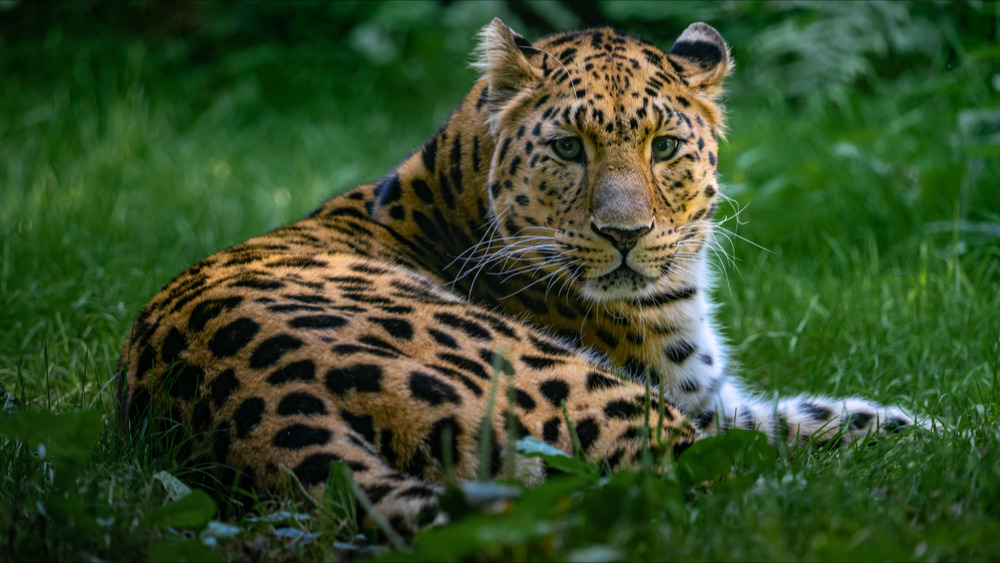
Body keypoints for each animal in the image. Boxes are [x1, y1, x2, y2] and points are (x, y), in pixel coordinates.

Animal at [115, 19, 928, 536]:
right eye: (568, 148)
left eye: (664, 146)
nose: (625, 236)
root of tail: (276, 420)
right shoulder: (695, 407)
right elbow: (808, 434)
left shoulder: (720, 402)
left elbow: (835, 416)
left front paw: (930, 426)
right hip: (606, 404)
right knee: (757, 496)